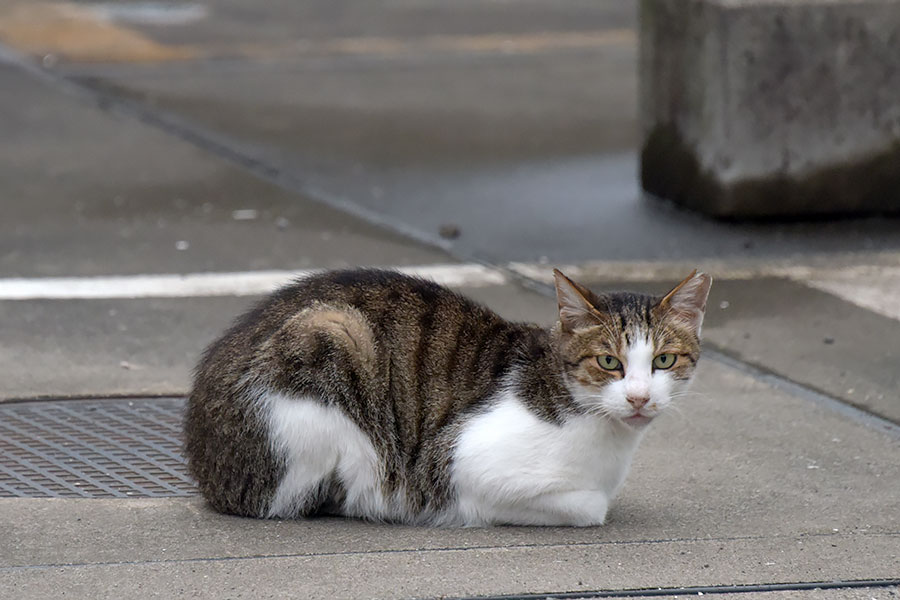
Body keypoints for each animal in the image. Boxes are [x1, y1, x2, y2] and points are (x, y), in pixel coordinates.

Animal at [185, 268, 712, 524]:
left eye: (664, 361)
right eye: (608, 362)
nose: (640, 398)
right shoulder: (458, 459)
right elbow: (589, 508)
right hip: (329, 333)